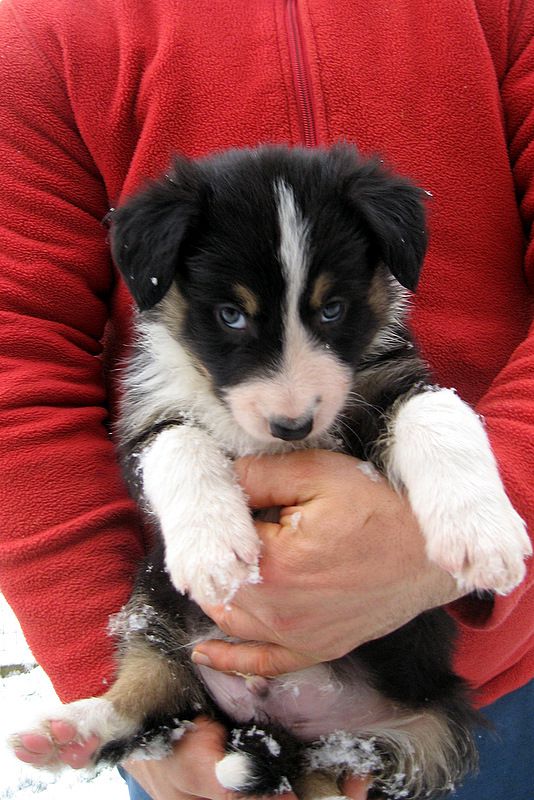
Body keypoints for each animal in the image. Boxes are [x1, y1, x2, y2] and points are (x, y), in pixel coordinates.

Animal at [10, 145, 532, 800]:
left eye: (332, 309)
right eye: (231, 315)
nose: (293, 425)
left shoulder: (390, 378)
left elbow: (441, 413)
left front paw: (483, 538)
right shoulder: (145, 419)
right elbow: (179, 444)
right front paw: (214, 550)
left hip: (422, 730)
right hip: (156, 603)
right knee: (153, 693)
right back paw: (66, 733)